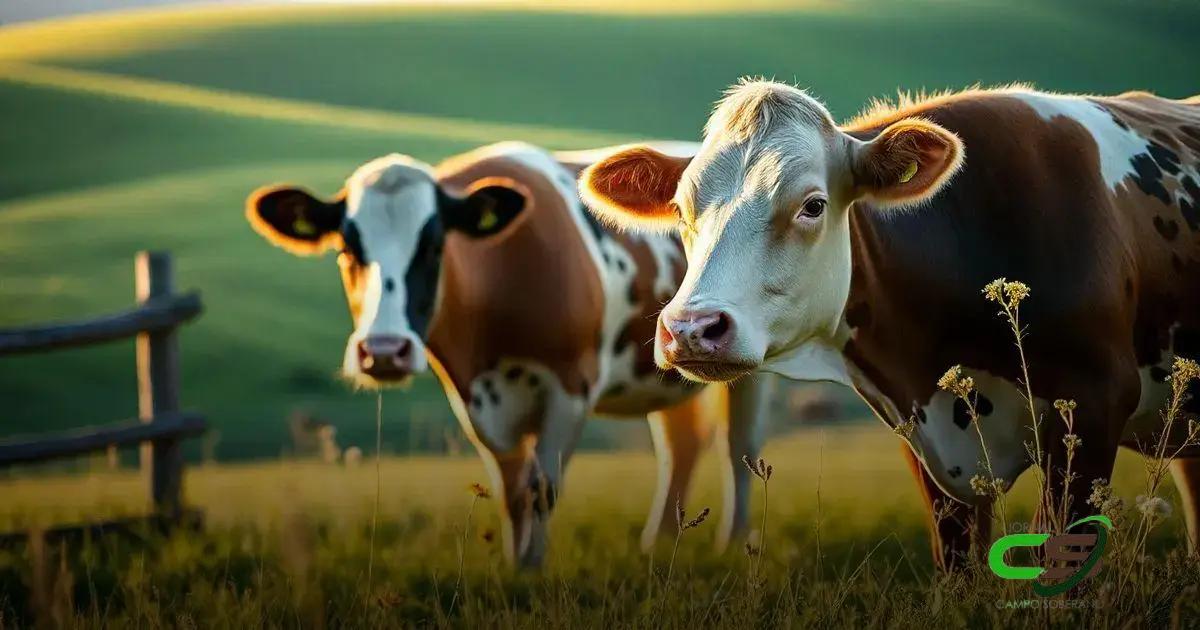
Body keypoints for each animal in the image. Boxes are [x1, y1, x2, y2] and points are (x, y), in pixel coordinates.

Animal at [244, 141, 773, 567]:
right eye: (347, 249)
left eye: (434, 245)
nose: (384, 351)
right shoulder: (473, 400)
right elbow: (511, 492)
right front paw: (515, 570)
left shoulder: (570, 387)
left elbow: (541, 490)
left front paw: (533, 571)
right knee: (681, 446)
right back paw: (657, 544)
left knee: (738, 447)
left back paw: (731, 542)